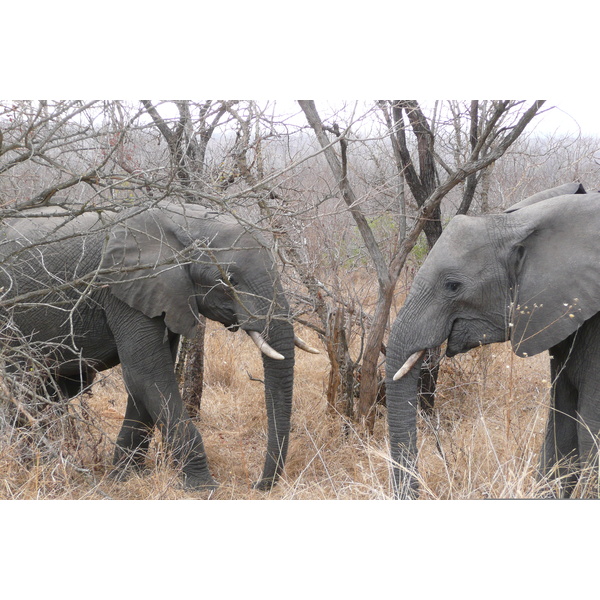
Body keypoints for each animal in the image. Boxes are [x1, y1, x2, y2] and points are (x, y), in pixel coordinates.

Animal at [0, 199, 318, 490]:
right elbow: (148, 374)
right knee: (23, 385)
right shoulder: (125, 286)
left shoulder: (165, 294)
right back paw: (34, 465)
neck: (188, 222)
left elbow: (144, 381)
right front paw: (204, 488)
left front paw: (125, 479)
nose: (257, 485)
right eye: (230, 279)